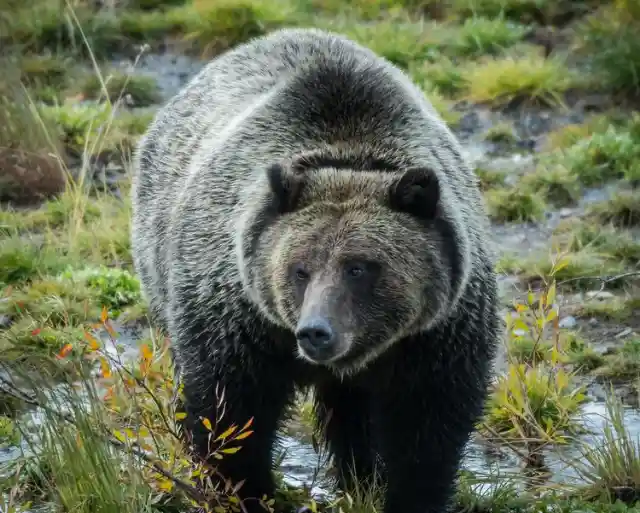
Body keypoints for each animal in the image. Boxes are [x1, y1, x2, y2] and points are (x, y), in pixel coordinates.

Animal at [129, 27, 500, 512]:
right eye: (299, 269)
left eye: (360, 267)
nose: (316, 332)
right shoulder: (238, 319)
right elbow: (229, 414)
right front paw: (245, 491)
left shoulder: (437, 335)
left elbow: (428, 428)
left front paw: (404, 493)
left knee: (353, 413)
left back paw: (360, 475)